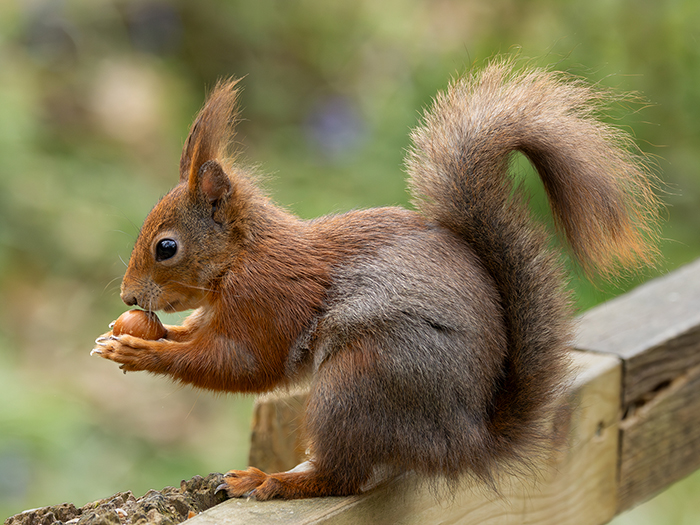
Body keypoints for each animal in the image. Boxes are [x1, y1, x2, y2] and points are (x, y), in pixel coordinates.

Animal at [92, 59, 659, 500]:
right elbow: (198, 337)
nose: (128, 295)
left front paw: (140, 352)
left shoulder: (268, 299)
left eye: (166, 247)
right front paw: (133, 332)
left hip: (357, 383)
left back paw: (270, 481)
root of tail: (464, 441)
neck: (241, 256)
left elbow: (240, 364)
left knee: (342, 478)